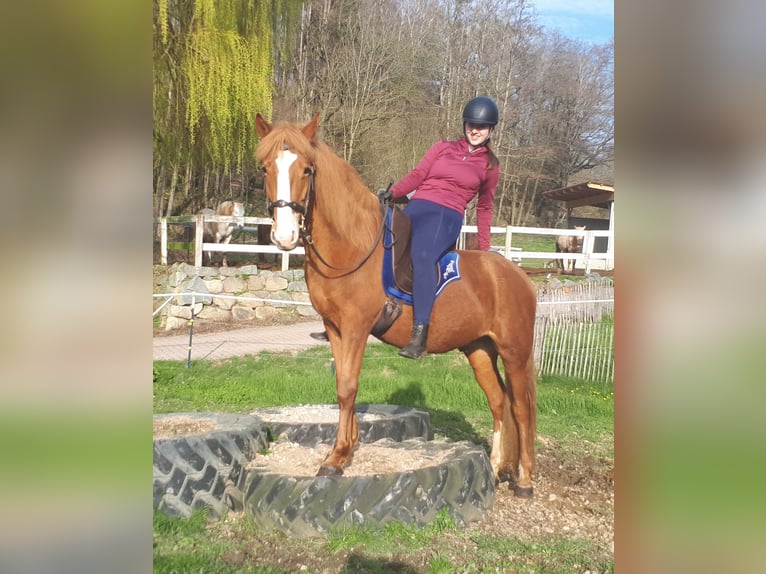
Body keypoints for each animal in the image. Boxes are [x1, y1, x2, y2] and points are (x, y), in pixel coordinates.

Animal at [255, 113, 536, 500]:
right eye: (265, 168)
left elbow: (348, 387)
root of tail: (518, 275)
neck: (352, 245)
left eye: (307, 170)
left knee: (521, 408)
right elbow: (343, 385)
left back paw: (524, 480)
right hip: (479, 349)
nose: (284, 236)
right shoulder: (334, 328)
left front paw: (337, 457)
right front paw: (347, 447)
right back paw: (495, 469)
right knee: (499, 402)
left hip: (515, 352)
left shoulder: (356, 328)